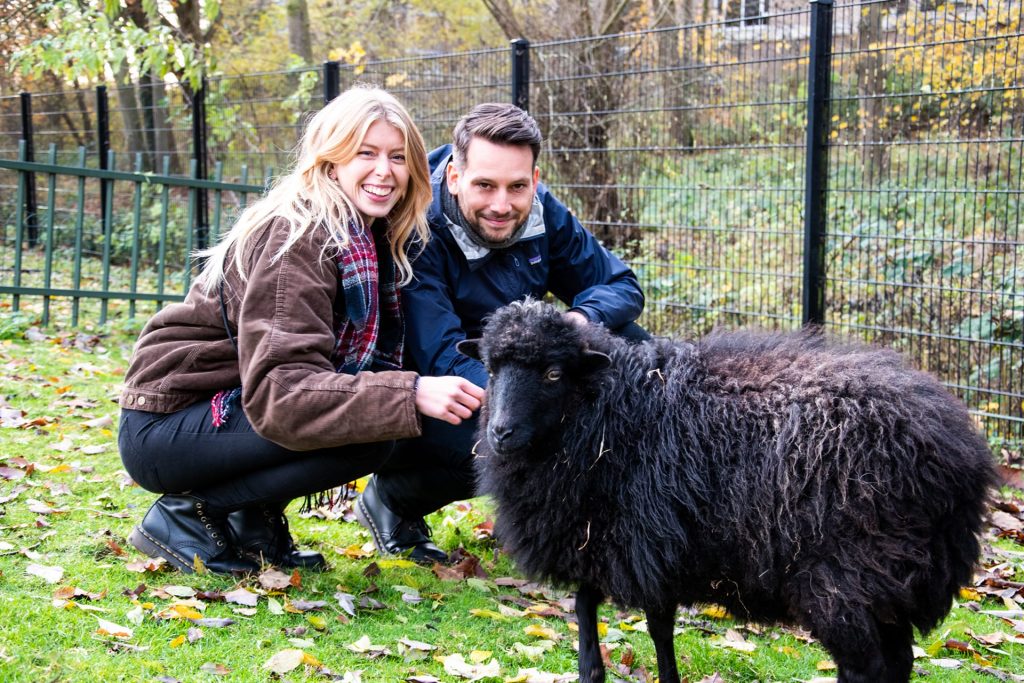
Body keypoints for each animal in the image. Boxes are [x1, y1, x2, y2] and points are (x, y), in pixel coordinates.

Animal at [460, 299, 995, 683]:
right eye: (491, 368)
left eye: (553, 373)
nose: (500, 433)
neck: (613, 406)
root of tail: (963, 453)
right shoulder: (596, 535)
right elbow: (590, 614)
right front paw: (592, 673)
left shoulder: (648, 541)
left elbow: (656, 627)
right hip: (890, 582)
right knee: (896, 661)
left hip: (848, 576)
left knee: (866, 667)